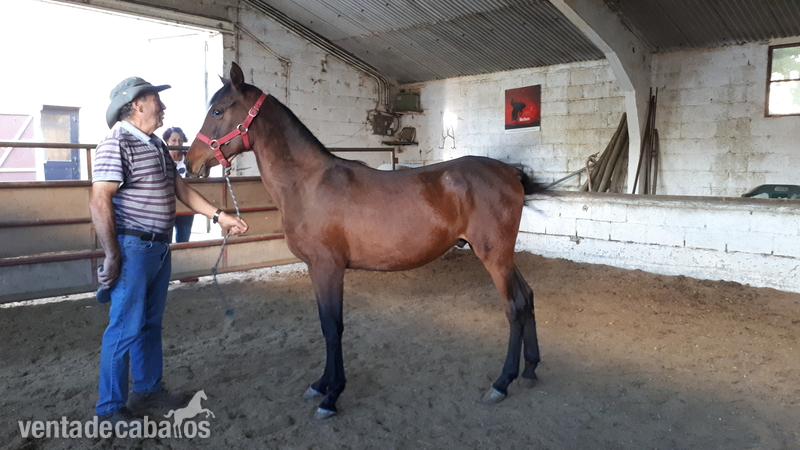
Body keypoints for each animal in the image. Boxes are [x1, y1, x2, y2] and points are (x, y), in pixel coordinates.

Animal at [186, 62, 546, 420]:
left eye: (217, 110)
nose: (191, 162)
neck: (308, 184)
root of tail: (510, 173)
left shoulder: (328, 267)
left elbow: (333, 327)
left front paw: (331, 396)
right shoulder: (316, 268)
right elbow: (326, 324)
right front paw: (320, 385)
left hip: (494, 257)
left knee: (514, 306)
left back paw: (502, 382)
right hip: (504, 257)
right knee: (527, 296)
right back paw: (530, 371)